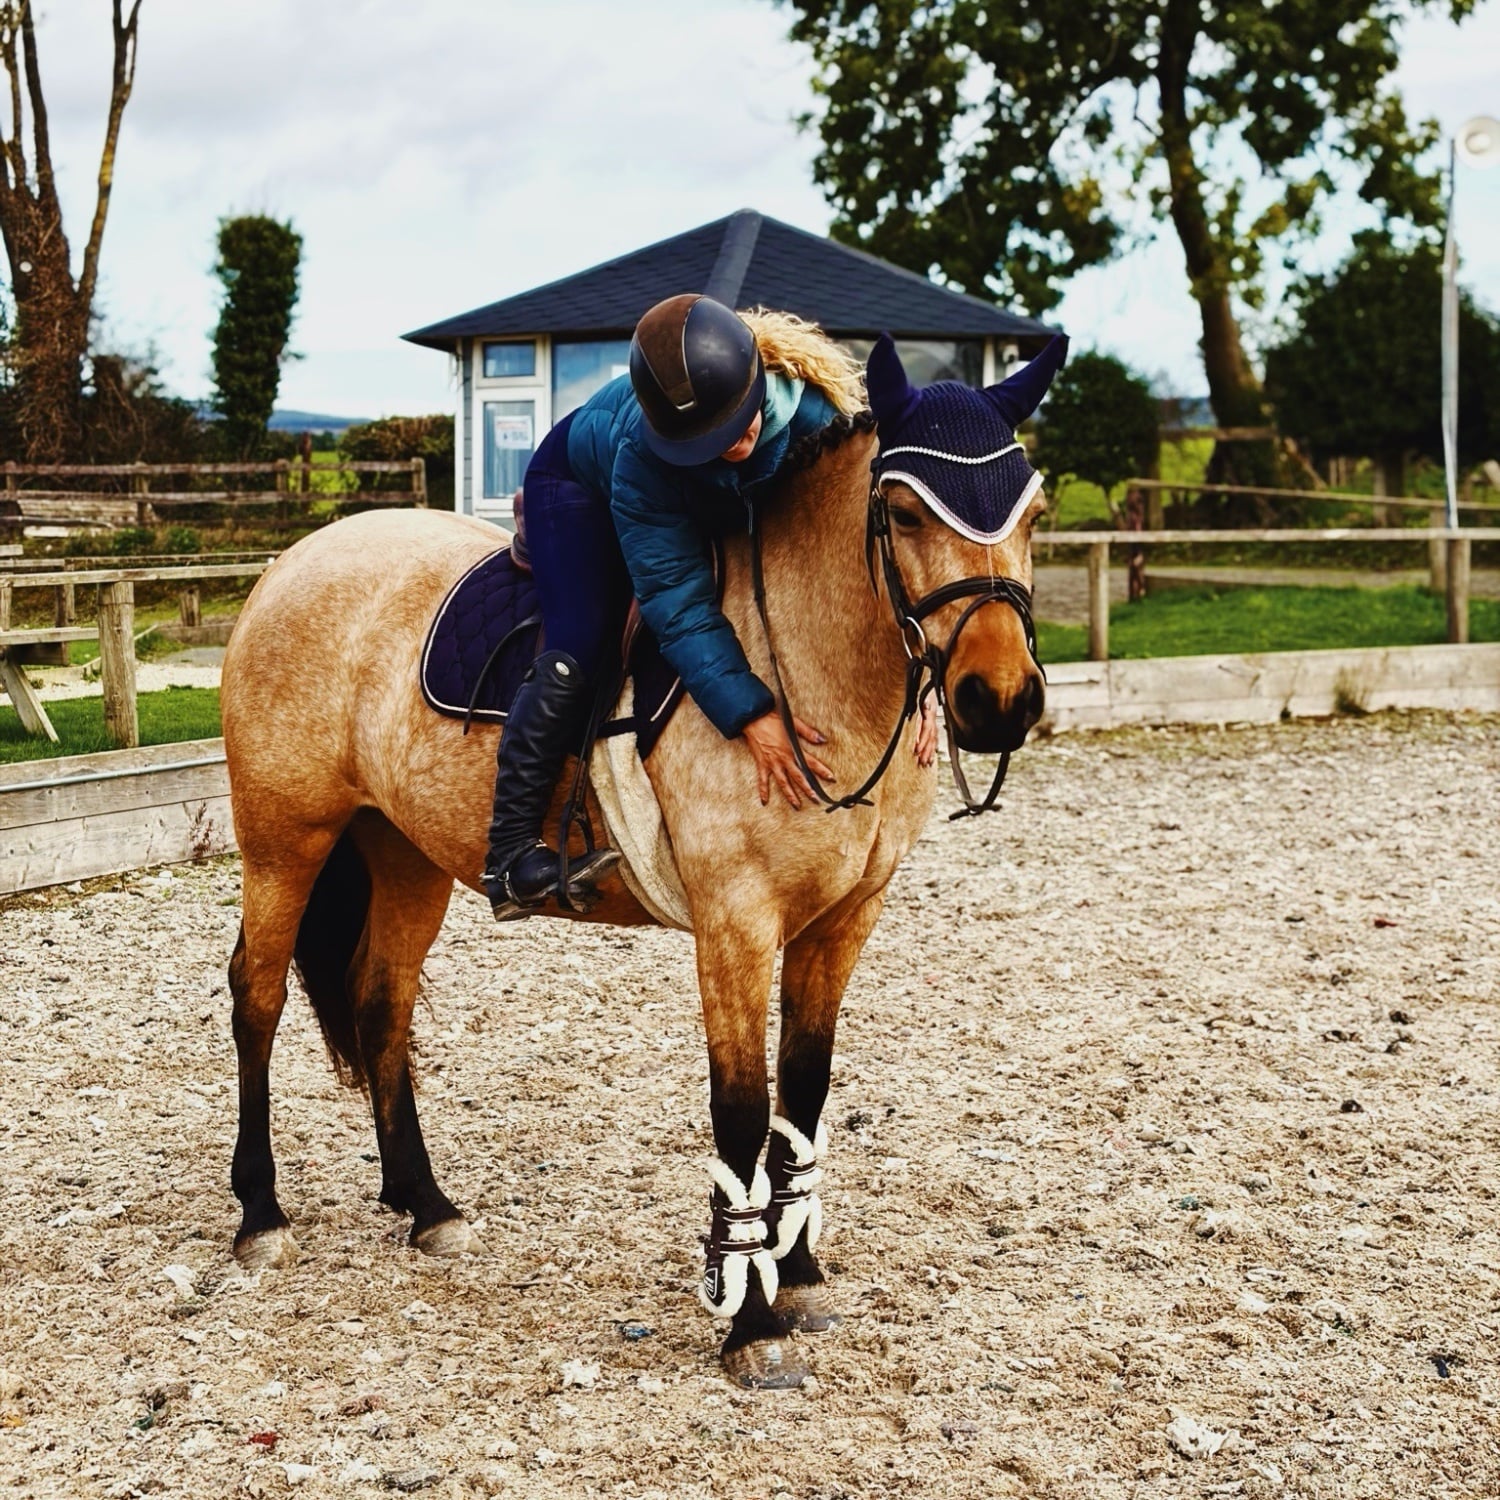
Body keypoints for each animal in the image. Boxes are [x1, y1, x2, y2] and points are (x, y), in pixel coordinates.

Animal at [220, 342, 1051, 1389]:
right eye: (903, 514)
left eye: (1035, 511)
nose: (1000, 699)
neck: (804, 667)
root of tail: (294, 561)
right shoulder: (737, 923)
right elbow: (741, 1107)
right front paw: (749, 1317)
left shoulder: (842, 920)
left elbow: (805, 1087)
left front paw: (796, 1266)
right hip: (284, 840)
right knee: (257, 997)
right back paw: (260, 1214)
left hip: (403, 852)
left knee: (381, 1002)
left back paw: (426, 1205)